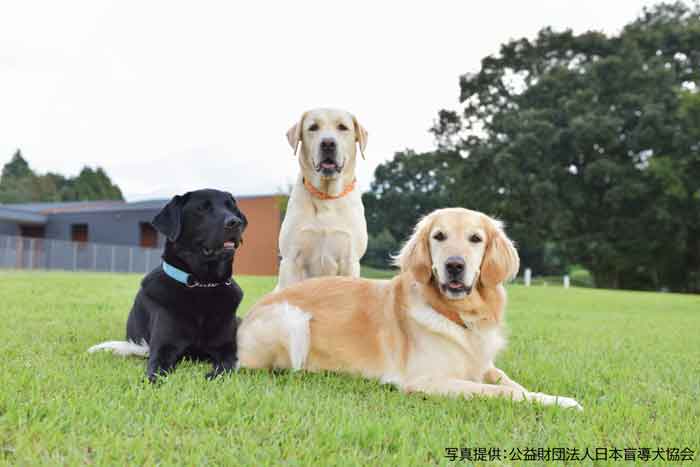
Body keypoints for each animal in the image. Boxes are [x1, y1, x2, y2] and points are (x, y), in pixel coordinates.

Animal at [89, 188, 246, 382]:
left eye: (232, 208)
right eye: (202, 208)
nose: (235, 222)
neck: (202, 285)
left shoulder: (227, 348)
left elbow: (226, 366)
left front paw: (213, 376)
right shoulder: (163, 348)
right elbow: (155, 370)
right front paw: (149, 382)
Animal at [238, 208, 584, 410]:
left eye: (475, 238)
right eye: (439, 236)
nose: (454, 265)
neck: (458, 316)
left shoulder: (484, 364)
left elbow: (509, 382)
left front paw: (554, 398)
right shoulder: (427, 380)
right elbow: (500, 392)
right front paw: (561, 402)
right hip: (292, 320)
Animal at [276, 109, 370, 288]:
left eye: (342, 127)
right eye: (313, 127)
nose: (328, 143)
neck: (327, 197)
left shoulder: (350, 260)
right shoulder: (291, 260)